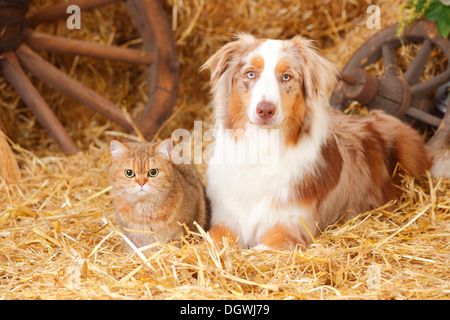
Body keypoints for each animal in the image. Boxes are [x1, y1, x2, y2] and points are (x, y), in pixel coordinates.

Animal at [202, 34, 430, 250]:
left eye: (286, 77)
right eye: (250, 74)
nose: (265, 110)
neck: (263, 146)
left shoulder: (287, 233)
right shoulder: (225, 222)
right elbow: (206, 246)